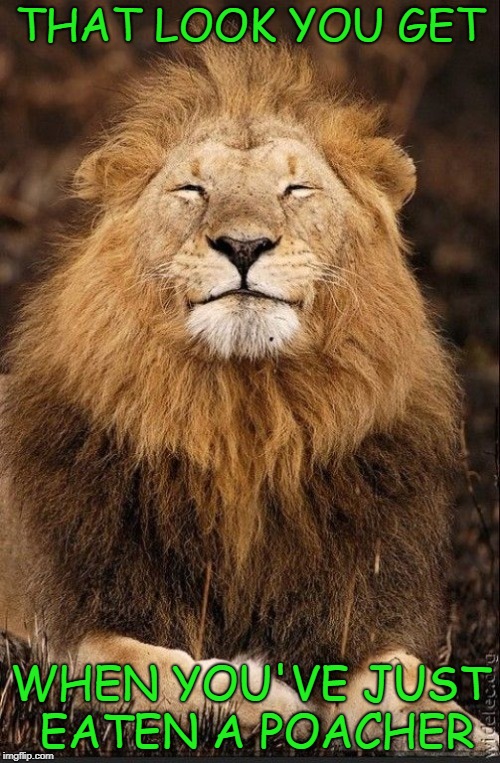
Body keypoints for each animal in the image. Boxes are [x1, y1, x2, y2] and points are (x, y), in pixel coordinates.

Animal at [0, 42, 497, 752]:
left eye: (296, 188)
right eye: (192, 190)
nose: (243, 245)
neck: (245, 425)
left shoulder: (362, 616)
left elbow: (402, 677)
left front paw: (462, 731)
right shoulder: (60, 628)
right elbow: (150, 668)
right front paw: (278, 703)